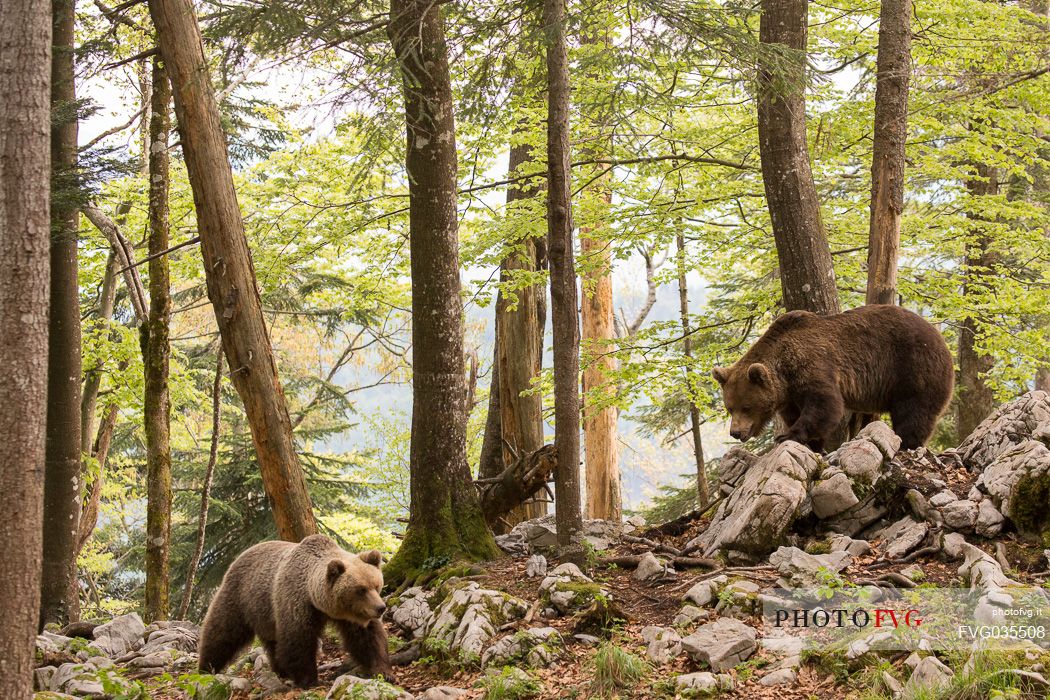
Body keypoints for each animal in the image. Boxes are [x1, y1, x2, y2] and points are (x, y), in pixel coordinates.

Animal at [197, 533, 394, 688]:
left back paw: (280, 669)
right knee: (222, 632)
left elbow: (368, 638)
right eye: (361, 590)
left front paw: (383, 671)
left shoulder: (352, 616)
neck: (315, 599)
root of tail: (241, 554)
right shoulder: (295, 601)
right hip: (240, 596)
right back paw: (206, 667)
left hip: (265, 614)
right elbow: (298, 640)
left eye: (376, 585)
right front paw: (309, 680)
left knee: (272, 642)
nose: (380, 608)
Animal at [713, 304, 953, 449]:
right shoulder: (788, 395)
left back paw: (906, 442)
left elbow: (825, 405)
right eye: (729, 408)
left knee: (914, 410)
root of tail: (940, 337)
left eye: (746, 407)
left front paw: (787, 435)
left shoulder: (813, 364)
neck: (785, 372)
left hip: (914, 367)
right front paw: (813, 444)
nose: (735, 432)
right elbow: (797, 412)